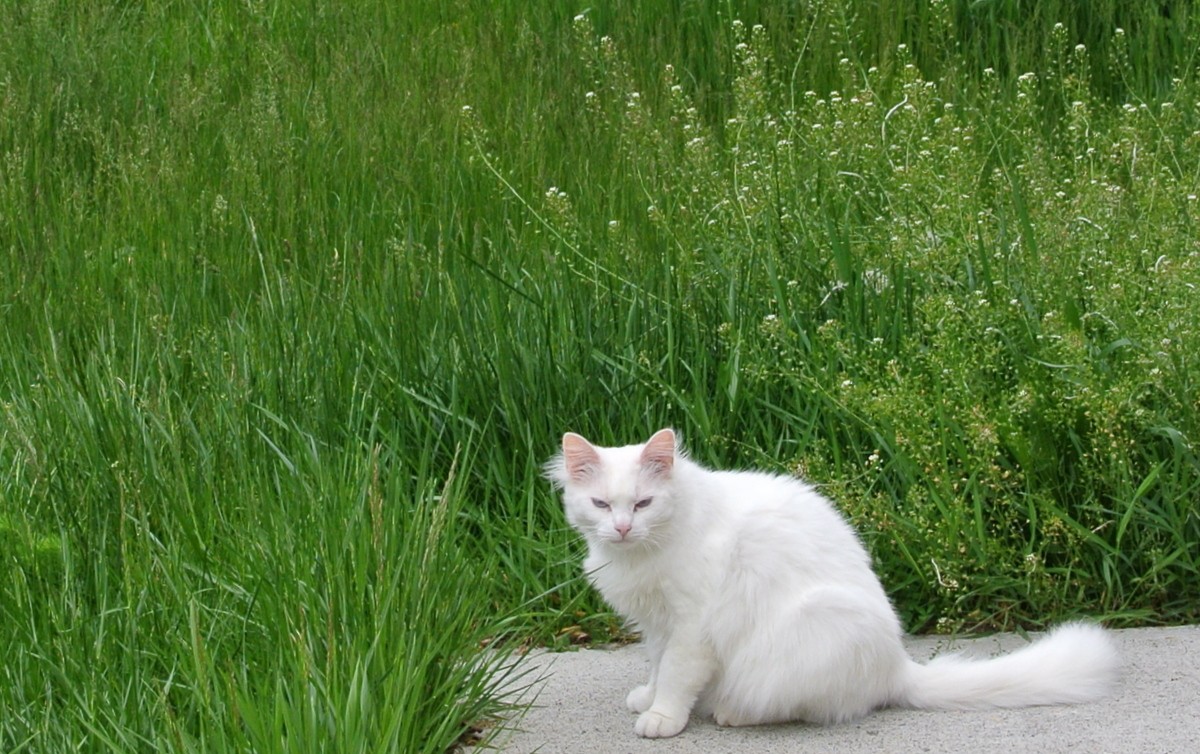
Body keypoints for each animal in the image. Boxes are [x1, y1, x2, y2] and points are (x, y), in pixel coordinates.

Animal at [547, 427, 1123, 739]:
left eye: (644, 504)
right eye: (602, 505)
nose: (623, 528)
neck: (643, 555)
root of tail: (897, 667)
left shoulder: (692, 626)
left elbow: (676, 675)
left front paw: (663, 716)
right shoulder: (658, 624)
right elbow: (657, 665)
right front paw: (647, 698)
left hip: (809, 626)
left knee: (799, 704)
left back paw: (733, 713)